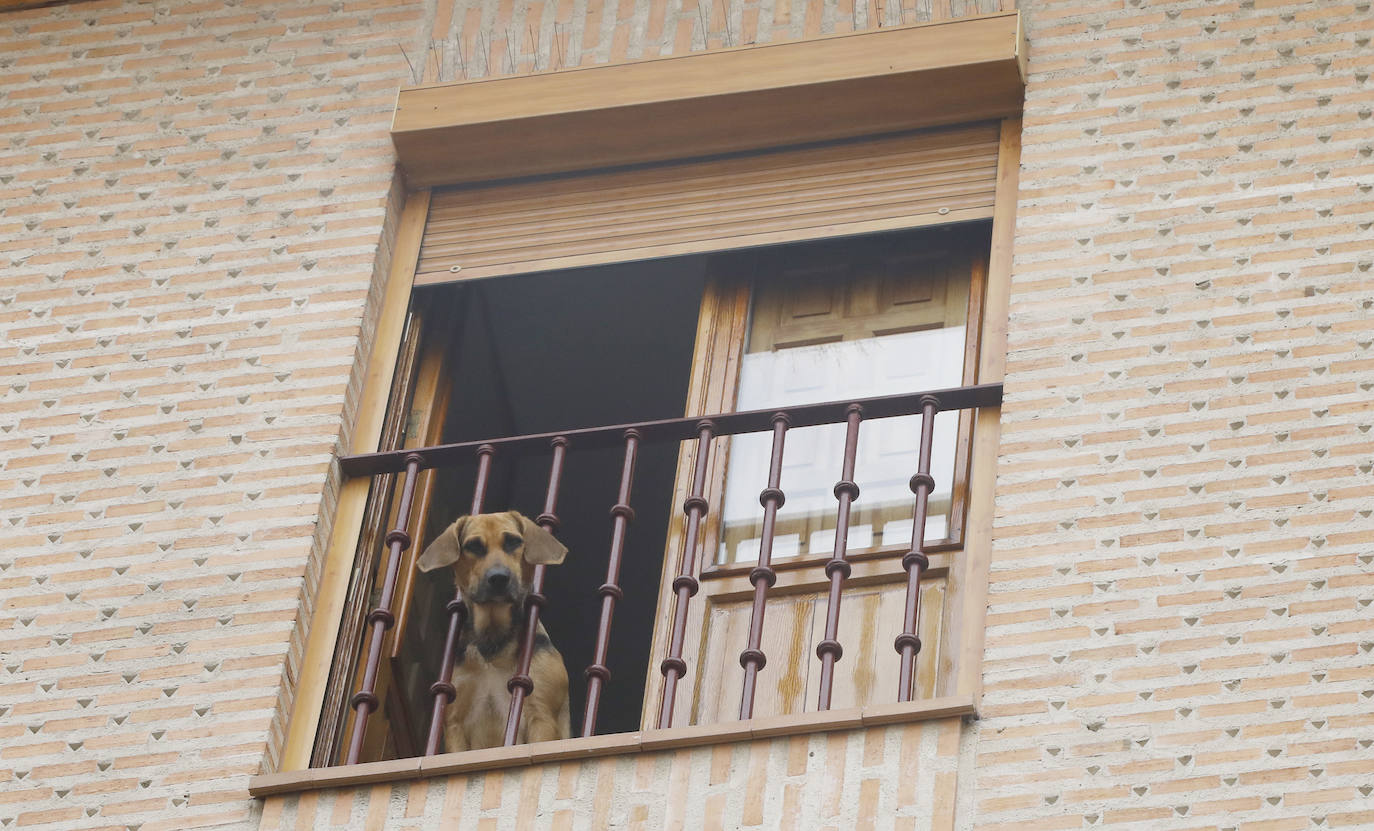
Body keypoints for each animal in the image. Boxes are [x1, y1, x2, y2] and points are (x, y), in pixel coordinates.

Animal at [414, 508, 571, 747]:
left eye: (513, 542)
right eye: (473, 546)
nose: (498, 578)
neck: (492, 637)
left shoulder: (542, 716)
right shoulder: (454, 723)